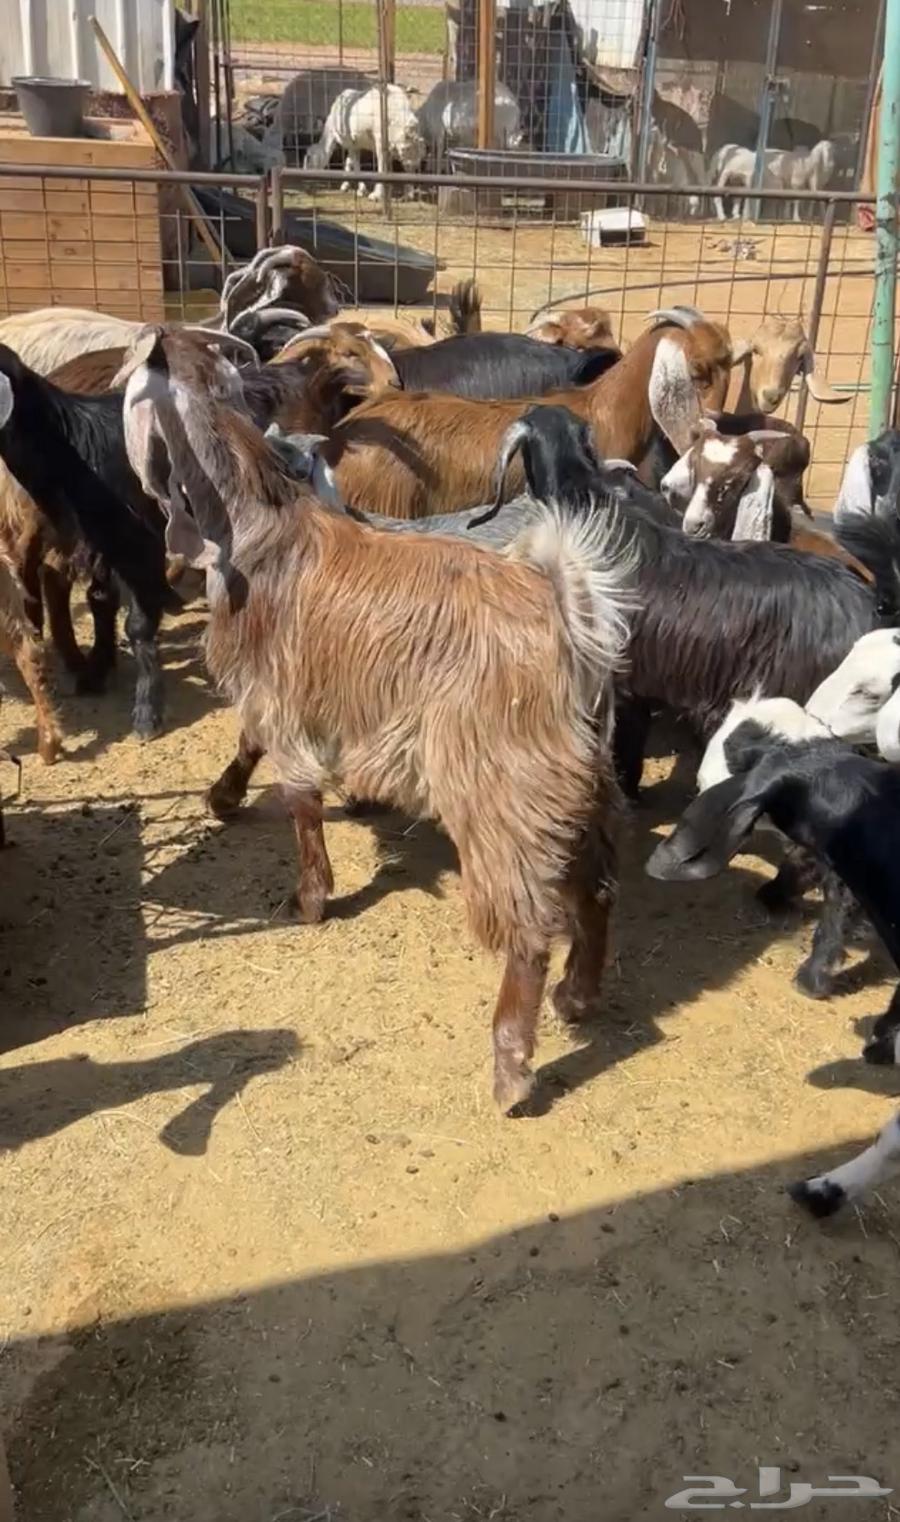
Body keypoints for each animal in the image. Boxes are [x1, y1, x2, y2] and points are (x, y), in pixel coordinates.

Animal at [118, 325, 634, 1111]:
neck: (263, 526)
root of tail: (568, 619)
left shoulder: (280, 689)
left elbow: (298, 796)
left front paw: (309, 897)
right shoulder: (296, 691)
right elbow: (255, 745)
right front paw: (225, 796)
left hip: (499, 784)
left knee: (529, 926)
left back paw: (511, 1069)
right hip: (577, 784)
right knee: (598, 883)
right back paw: (577, 996)